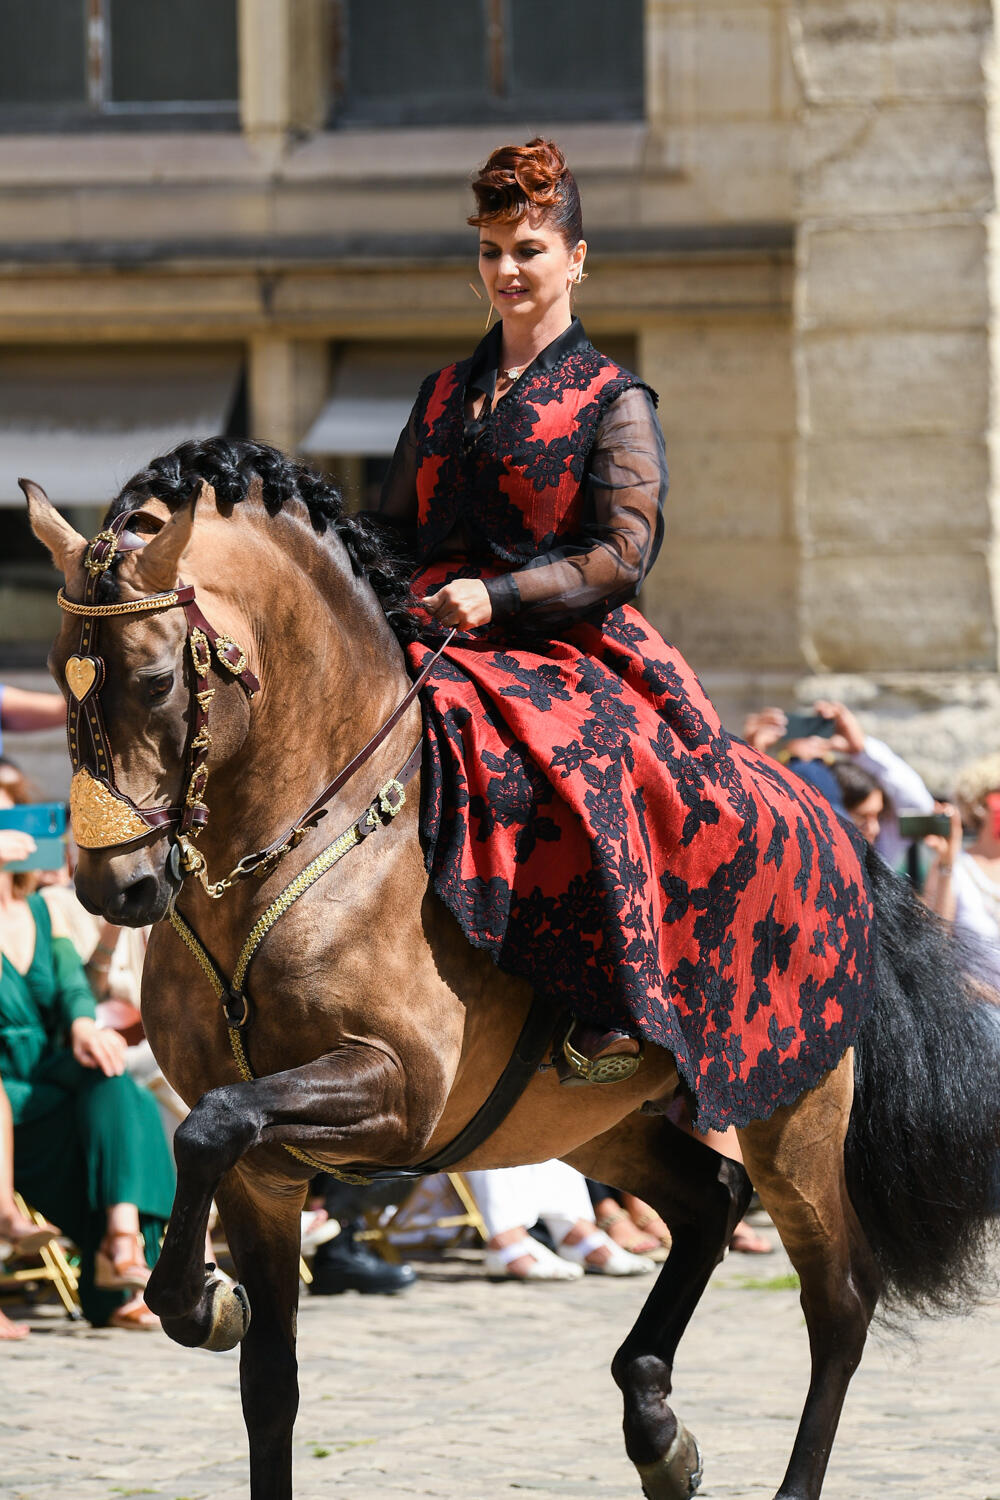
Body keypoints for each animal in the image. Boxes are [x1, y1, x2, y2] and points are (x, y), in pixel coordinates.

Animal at [23, 438, 1000, 1500]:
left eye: (159, 680)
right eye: (57, 672)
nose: (113, 886)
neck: (301, 844)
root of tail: (825, 818)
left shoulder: (395, 1094)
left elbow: (206, 1125)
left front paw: (203, 1298)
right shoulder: (270, 1178)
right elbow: (267, 1377)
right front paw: (208, 1301)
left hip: (794, 1115)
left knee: (840, 1299)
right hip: (588, 1122)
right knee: (710, 1199)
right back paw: (657, 1428)